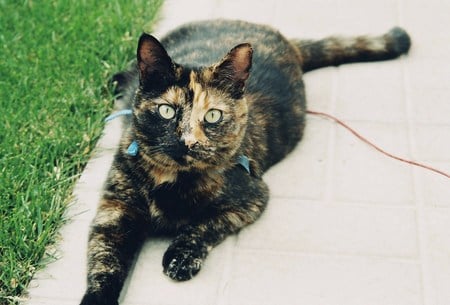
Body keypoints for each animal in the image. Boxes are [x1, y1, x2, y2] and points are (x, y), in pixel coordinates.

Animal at [79, 19, 410, 304]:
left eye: (213, 115)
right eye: (166, 111)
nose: (188, 141)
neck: (174, 181)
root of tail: (278, 35)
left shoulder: (250, 199)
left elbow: (204, 225)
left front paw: (182, 256)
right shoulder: (115, 208)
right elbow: (104, 261)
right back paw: (116, 81)